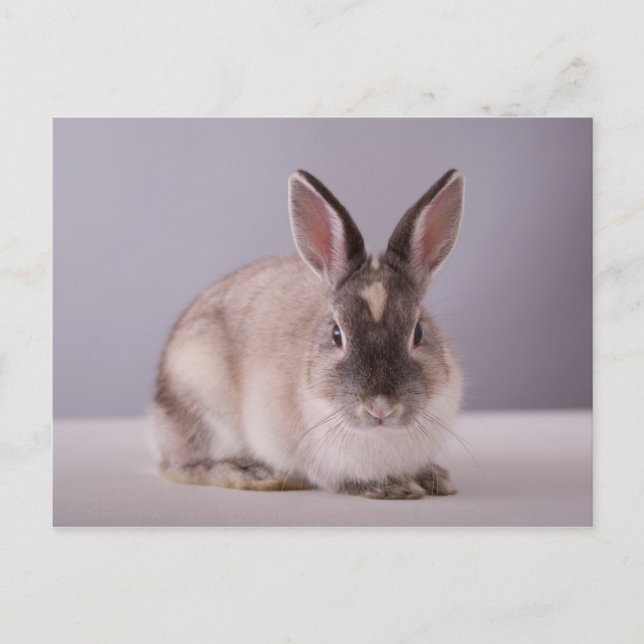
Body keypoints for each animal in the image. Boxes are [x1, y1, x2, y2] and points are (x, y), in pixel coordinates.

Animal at [153, 168, 465, 499]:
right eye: (337, 335)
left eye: (418, 332)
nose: (380, 407)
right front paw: (395, 487)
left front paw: (435, 479)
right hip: (203, 407)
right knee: (181, 466)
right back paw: (255, 474)